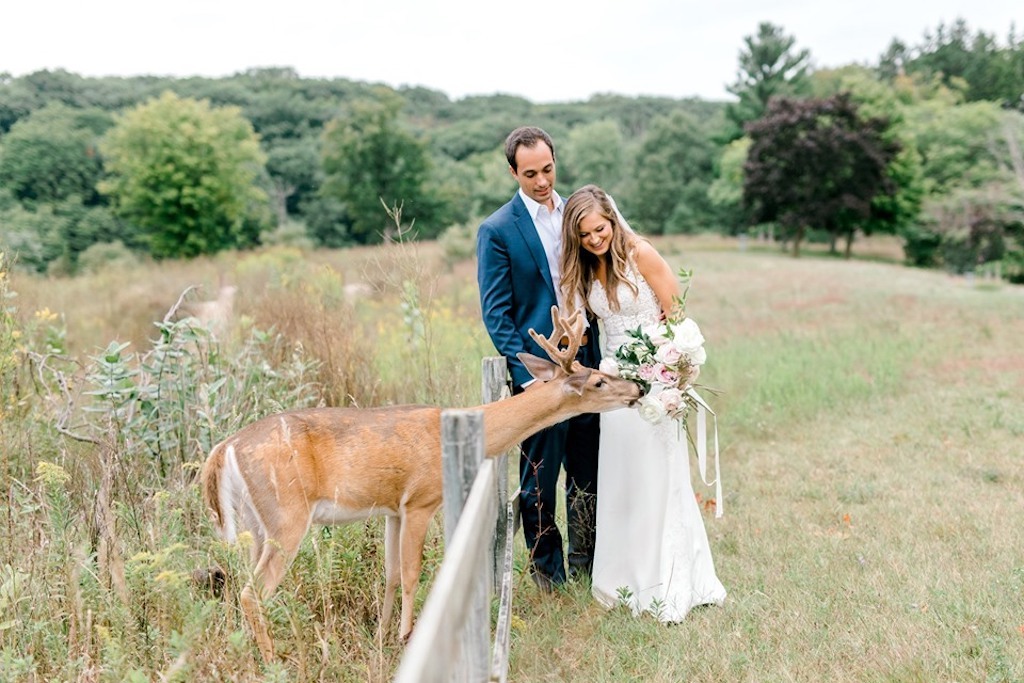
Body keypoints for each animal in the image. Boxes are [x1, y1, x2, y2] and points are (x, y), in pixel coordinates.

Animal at [195, 309, 634, 663]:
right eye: (598, 380)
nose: (638, 389)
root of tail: (223, 449)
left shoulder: (392, 508)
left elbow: (390, 574)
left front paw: (381, 635)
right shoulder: (421, 500)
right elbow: (411, 572)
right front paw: (407, 636)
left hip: (256, 523)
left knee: (242, 587)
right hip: (286, 513)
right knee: (253, 591)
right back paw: (272, 661)